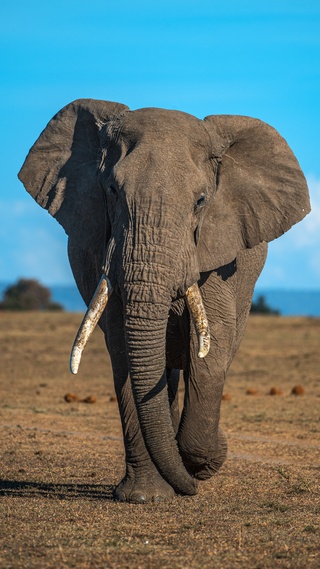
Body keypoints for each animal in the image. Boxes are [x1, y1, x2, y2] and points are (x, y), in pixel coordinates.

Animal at [18, 98, 310, 502]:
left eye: (201, 201)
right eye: (112, 190)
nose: (192, 486)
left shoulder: (216, 254)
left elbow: (211, 346)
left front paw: (199, 464)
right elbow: (124, 348)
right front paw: (145, 496)